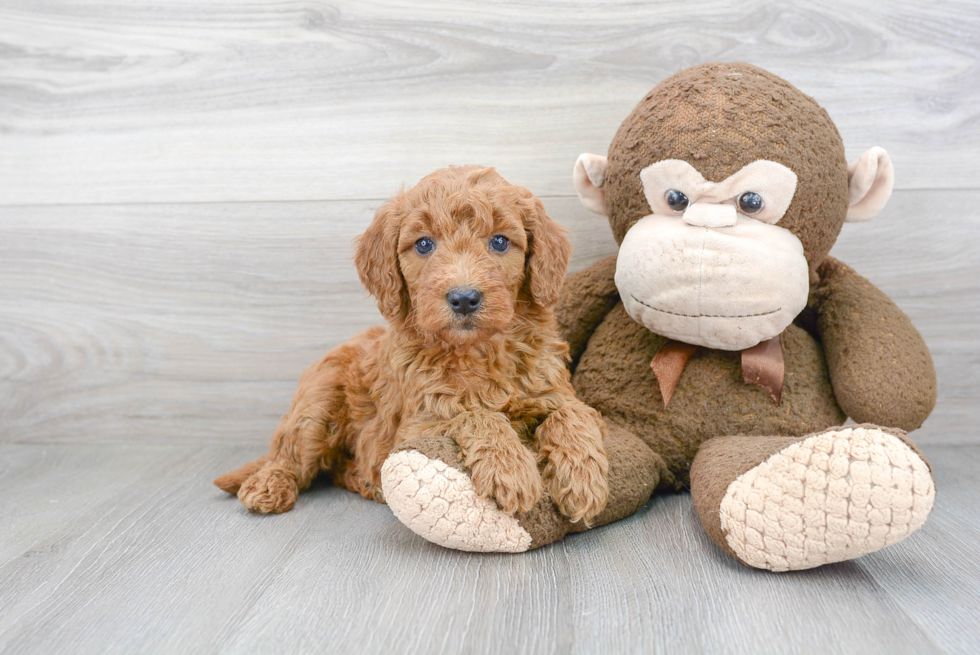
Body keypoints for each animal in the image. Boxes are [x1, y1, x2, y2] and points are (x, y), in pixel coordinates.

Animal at [216, 167, 604, 524]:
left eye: (499, 242)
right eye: (424, 244)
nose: (464, 298)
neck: (479, 351)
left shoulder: (553, 389)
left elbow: (573, 413)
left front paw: (582, 479)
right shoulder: (418, 424)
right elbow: (475, 414)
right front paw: (511, 469)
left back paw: (364, 481)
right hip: (317, 401)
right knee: (290, 453)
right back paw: (268, 485)